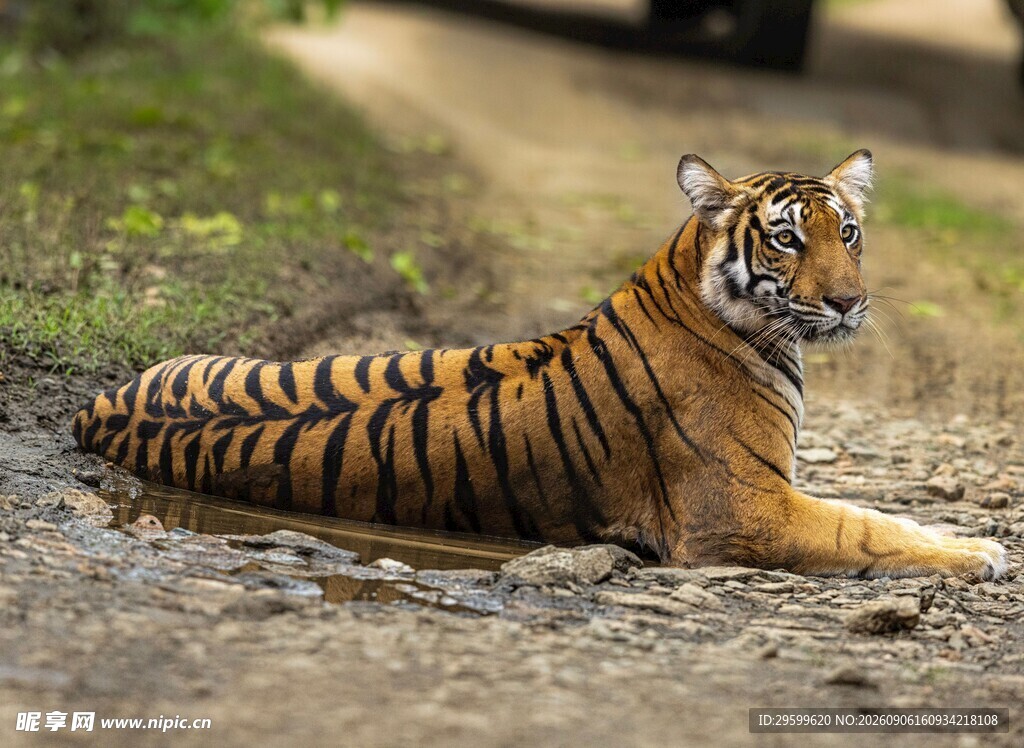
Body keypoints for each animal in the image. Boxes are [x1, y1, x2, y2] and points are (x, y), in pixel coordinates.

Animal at [73, 150, 1007, 580]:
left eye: (847, 232)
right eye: (786, 239)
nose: (850, 302)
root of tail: (96, 407)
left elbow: (873, 511)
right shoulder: (744, 511)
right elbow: (862, 528)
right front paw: (982, 553)